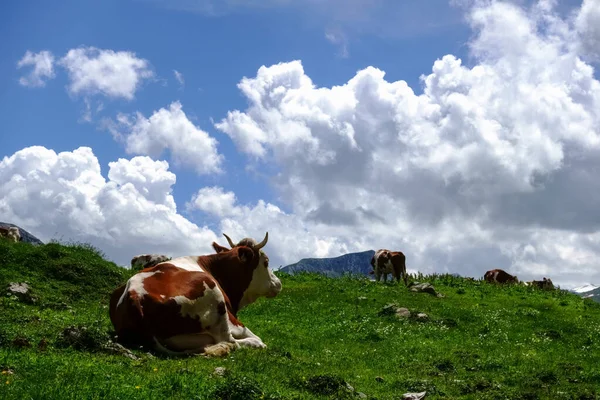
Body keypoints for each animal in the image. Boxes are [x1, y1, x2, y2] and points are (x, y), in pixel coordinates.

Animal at [109, 231, 282, 356]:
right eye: (266, 262)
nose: (279, 283)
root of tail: (133, 294)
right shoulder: (232, 318)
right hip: (212, 296)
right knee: (231, 340)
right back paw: (250, 343)